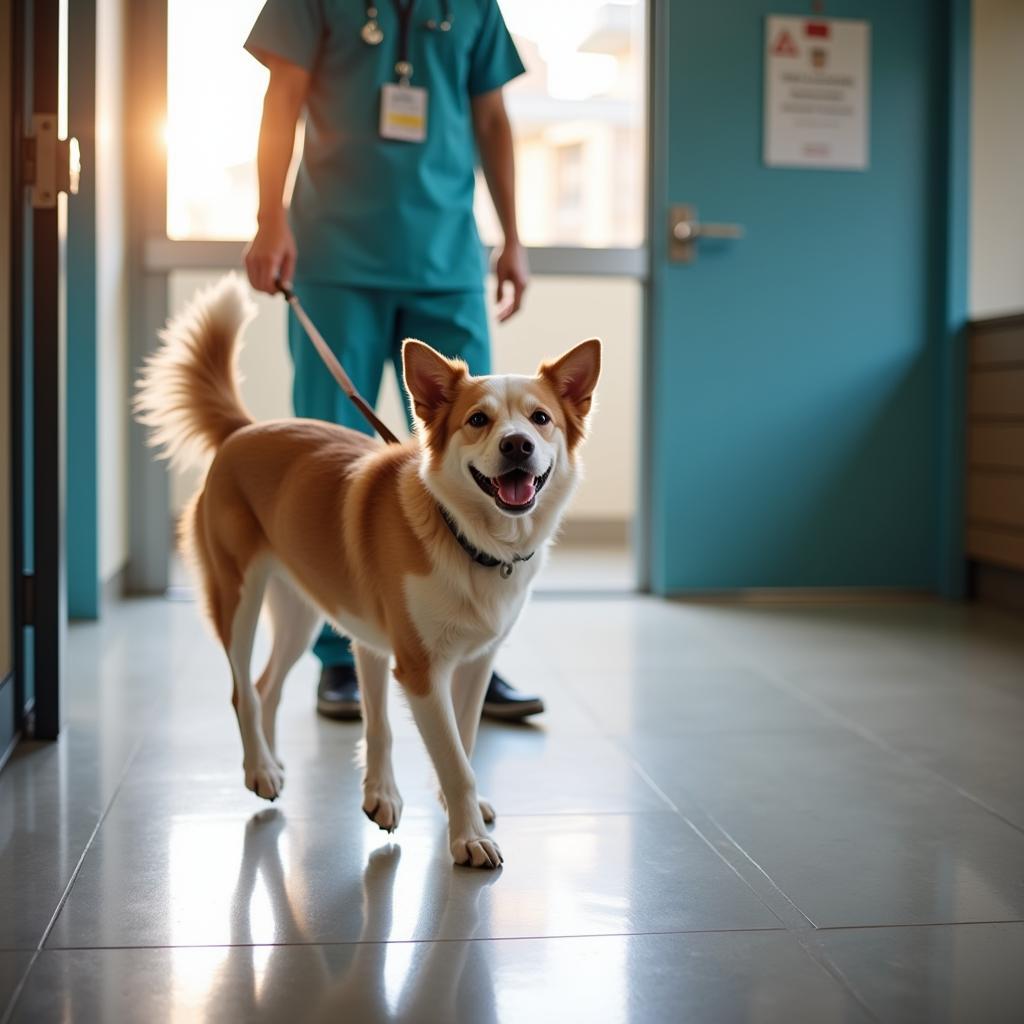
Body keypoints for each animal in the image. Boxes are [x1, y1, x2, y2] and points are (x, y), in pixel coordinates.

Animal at [135, 276, 598, 868]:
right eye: (478, 420)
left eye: (541, 419)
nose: (517, 444)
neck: (465, 538)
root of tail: (246, 430)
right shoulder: (420, 669)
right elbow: (452, 759)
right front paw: (468, 836)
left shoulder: (473, 663)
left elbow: (462, 743)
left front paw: (441, 807)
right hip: (236, 597)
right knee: (243, 689)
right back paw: (259, 768)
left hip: (304, 612)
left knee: (267, 686)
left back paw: (280, 768)